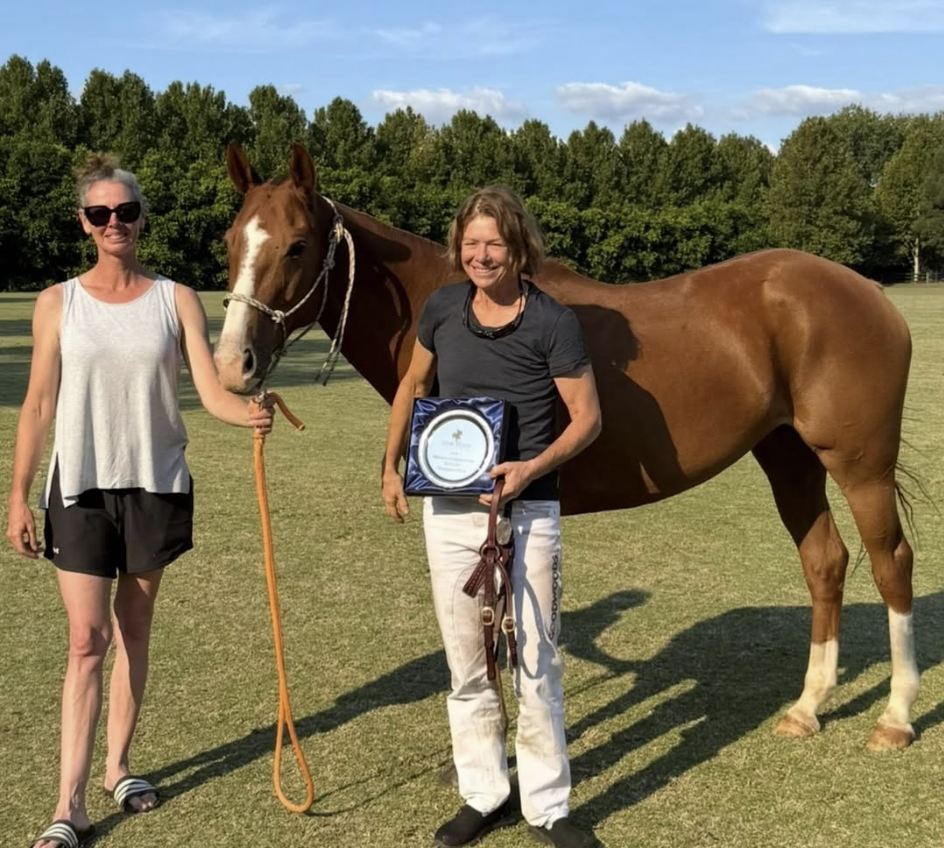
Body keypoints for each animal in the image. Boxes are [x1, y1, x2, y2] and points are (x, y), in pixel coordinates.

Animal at [214, 142, 919, 752]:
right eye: (230, 241)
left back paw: (896, 717)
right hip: (788, 457)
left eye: (297, 247)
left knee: (892, 564)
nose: (231, 365)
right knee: (825, 562)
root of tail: (869, 292)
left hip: (860, 466)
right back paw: (807, 707)